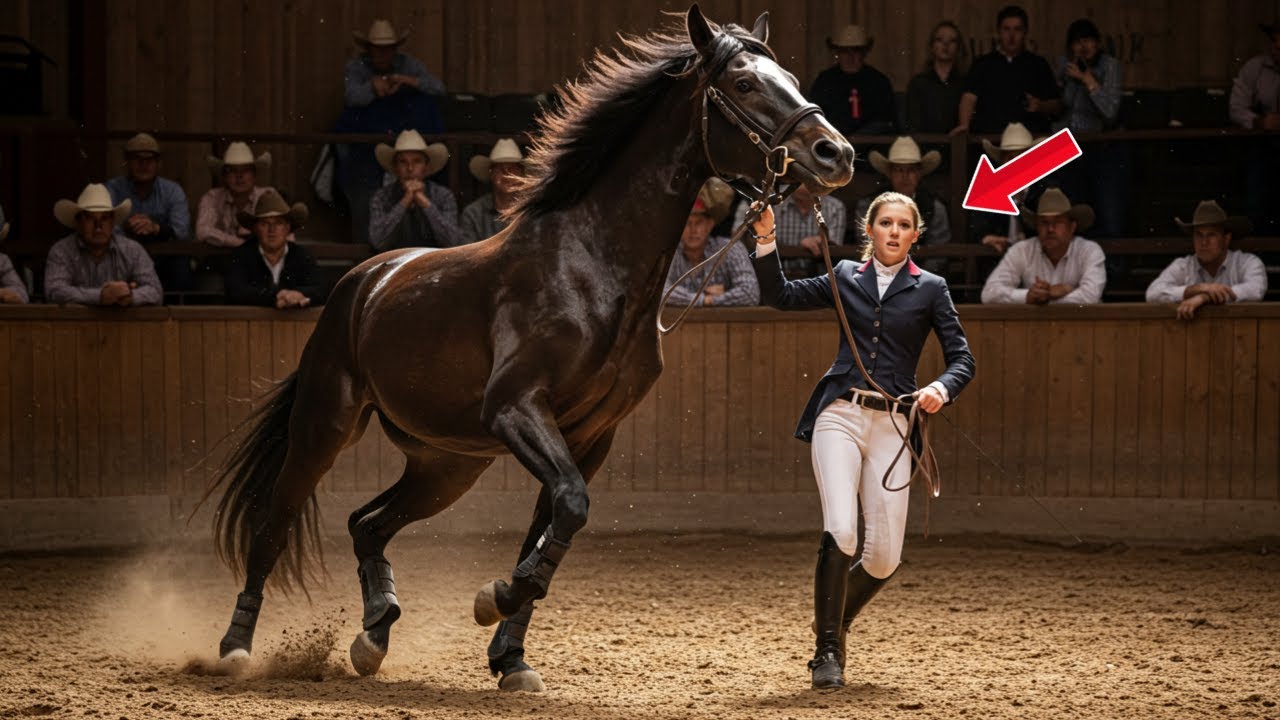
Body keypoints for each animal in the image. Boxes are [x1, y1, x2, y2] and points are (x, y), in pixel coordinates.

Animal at [205, 4, 854, 691]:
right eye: (744, 83)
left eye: (790, 77)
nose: (834, 152)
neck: (591, 268)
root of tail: (363, 280)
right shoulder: (517, 408)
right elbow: (567, 509)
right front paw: (493, 601)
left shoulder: (589, 435)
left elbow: (552, 527)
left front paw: (510, 656)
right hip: (325, 426)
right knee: (272, 528)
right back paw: (236, 648)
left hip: (447, 464)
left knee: (367, 525)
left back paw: (375, 632)